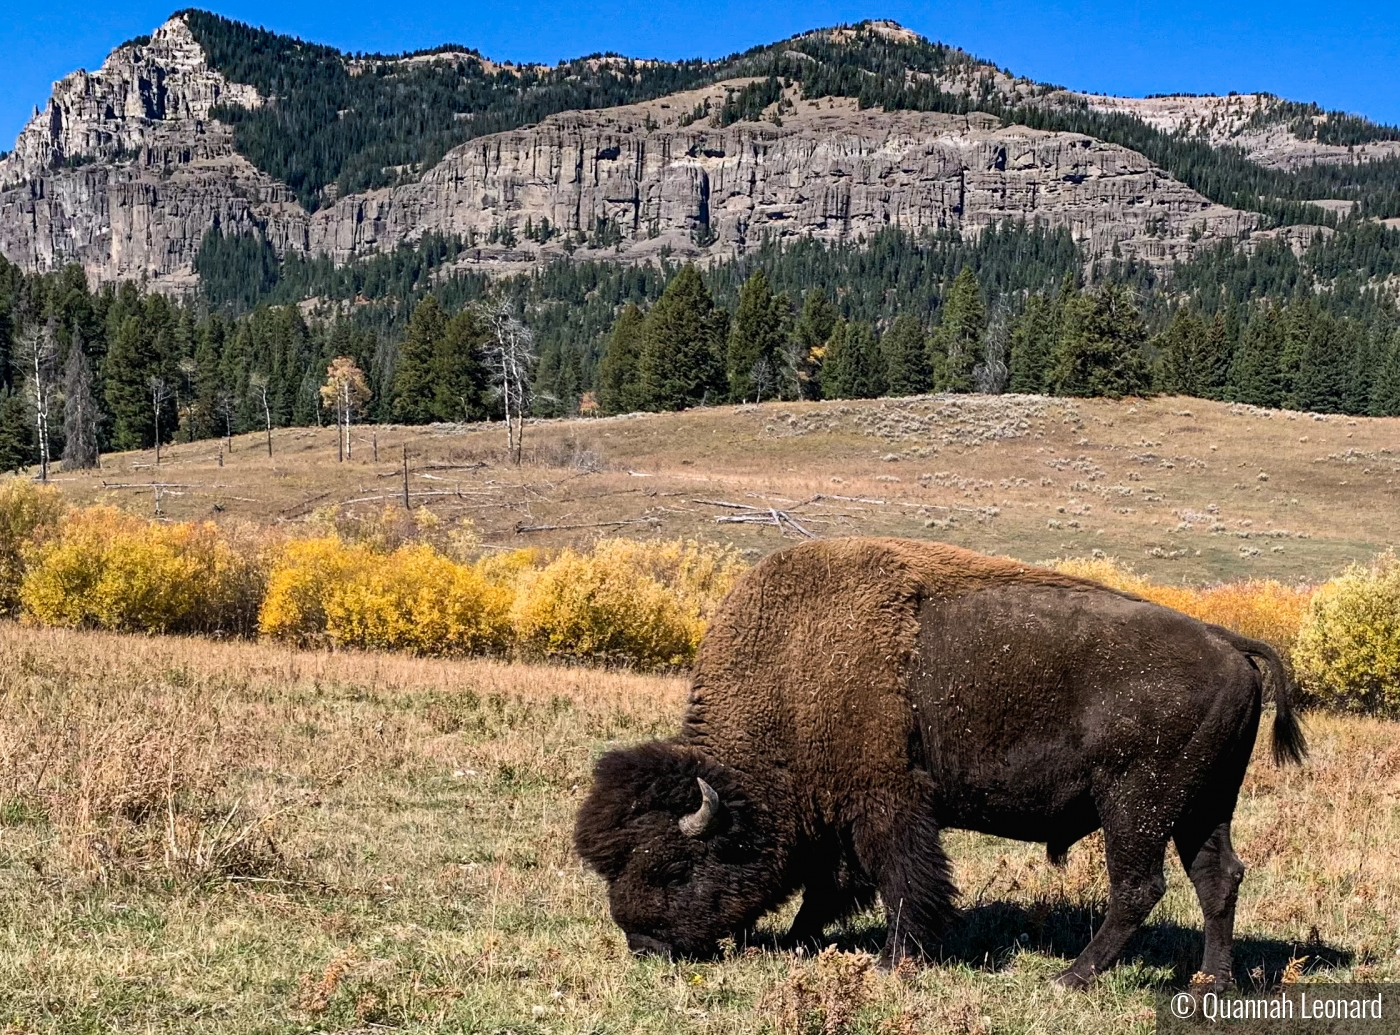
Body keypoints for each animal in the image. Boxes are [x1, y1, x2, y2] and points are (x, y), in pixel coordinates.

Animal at [574, 543, 1304, 985]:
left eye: (673, 866)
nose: (644, 945)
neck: (791, 670)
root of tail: (1227, 643)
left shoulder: (887, 801)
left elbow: (899, 880)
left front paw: (894, 962)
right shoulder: (841, 811)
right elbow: (833, 883)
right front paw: (801, 941)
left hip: (1137, 804)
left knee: (1138, 887)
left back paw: (1069, 977)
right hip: (1204, 807)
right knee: (1218, 879)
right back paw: (1212, 982)